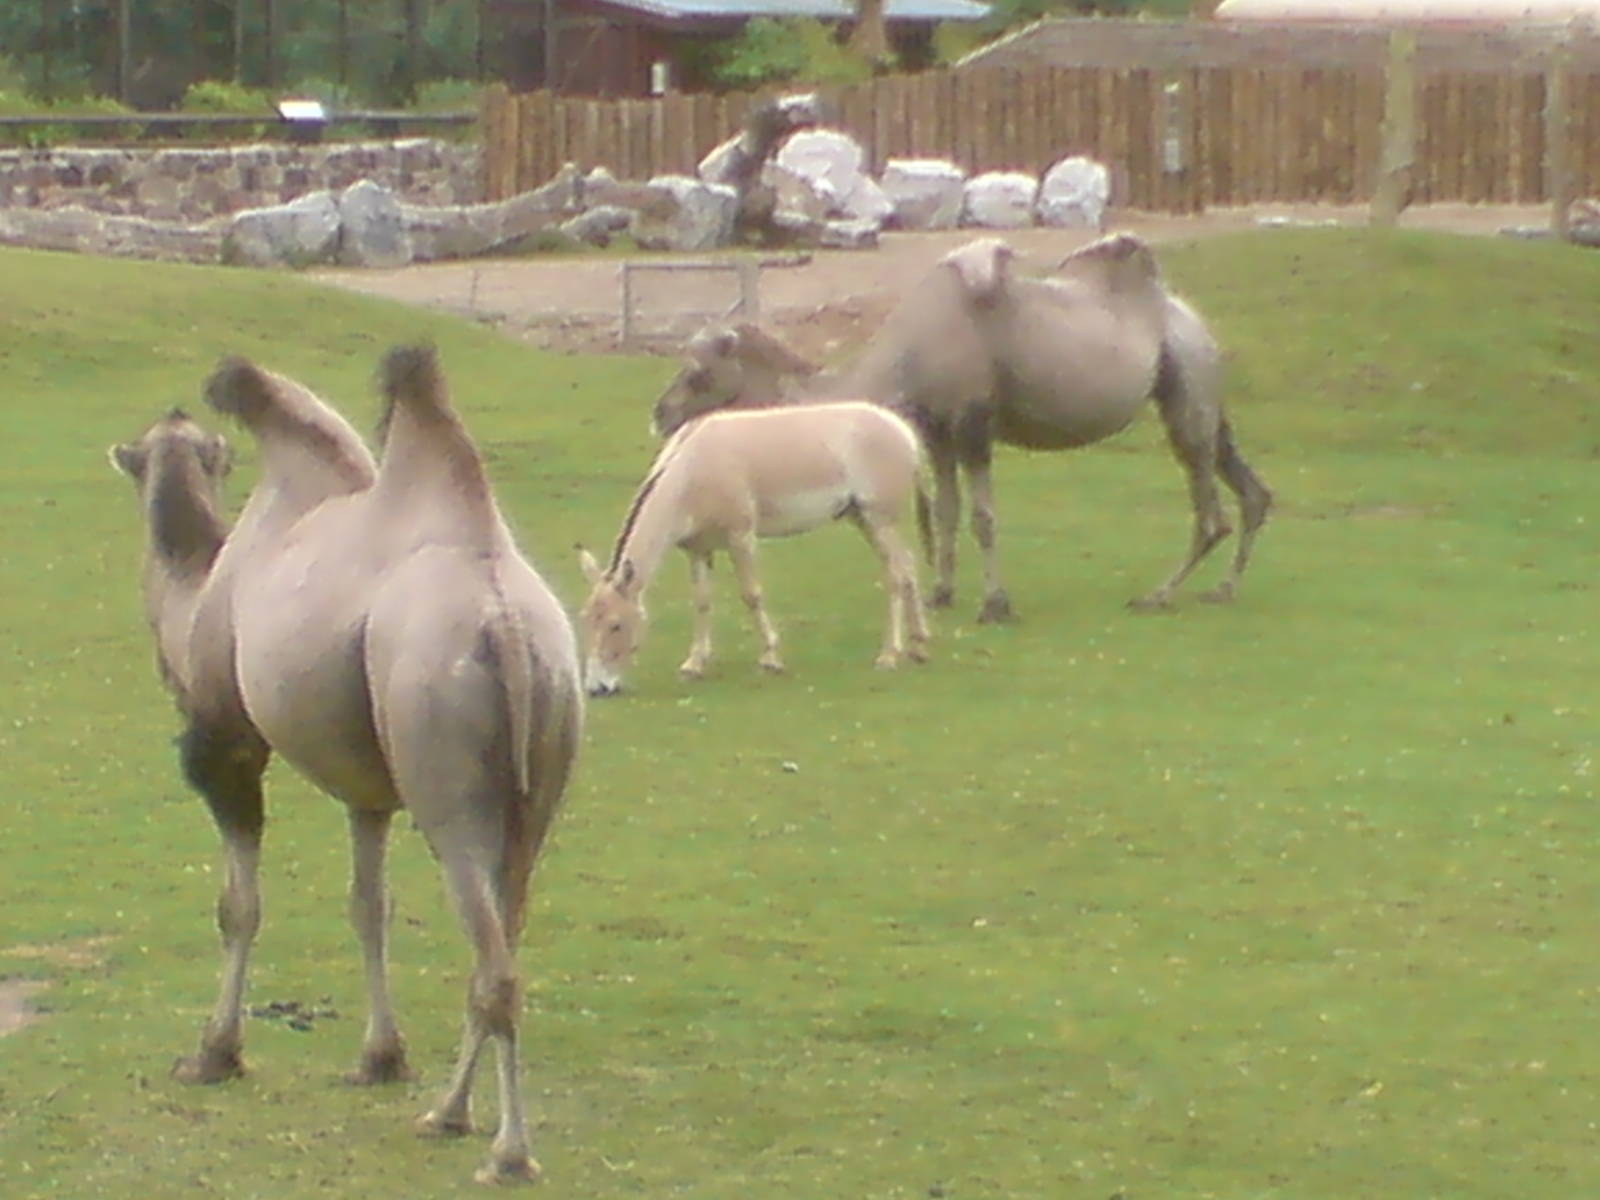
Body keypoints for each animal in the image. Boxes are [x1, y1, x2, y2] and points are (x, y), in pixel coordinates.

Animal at [110, 345, 583, 1185]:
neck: (192, 596)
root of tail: (507, 629)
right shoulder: (369, 792)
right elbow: (369, 907)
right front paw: (380, 1058)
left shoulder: (229, 742)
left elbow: (239, 906)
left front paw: (215, 1053)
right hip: (539, 776)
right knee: (502, 941)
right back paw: (446, 1113)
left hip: (443, 768)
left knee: (493, 962)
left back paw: (506, 1150)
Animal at [578, 400, 929, 694]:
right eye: (586, 621)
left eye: (615, 624)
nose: (596, 689)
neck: (691, 469)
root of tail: (901, 428)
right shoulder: (697, 549)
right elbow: (702, 601)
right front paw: (694, 664)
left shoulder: (740, 538)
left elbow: (751, 594)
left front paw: (771, 658)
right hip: (863, 519)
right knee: (909, 566)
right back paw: (919, 647)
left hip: (879, 518)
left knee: (896, 575)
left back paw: (889, 655)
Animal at [652, 232, 1274, 621]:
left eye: (697, 372)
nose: (660, 412)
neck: (904, 356)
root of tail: (1193, 321)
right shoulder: (938, 432)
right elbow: (948, 513)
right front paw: (941, 593)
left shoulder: (972, 422)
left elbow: (983, 518)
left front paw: (994, 605)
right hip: (1197, 394)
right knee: (1251, 489)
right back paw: (1224, 589)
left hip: (1187, 392)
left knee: (1211, 510)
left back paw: (1158, 595)